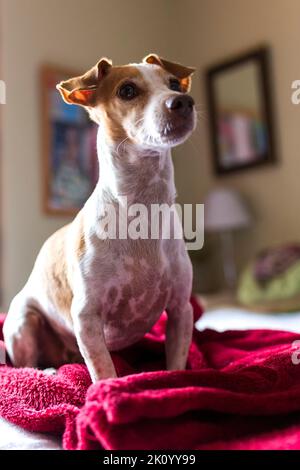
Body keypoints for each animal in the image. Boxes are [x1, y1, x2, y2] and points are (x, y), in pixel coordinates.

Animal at [2, 54, 197, 382]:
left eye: (173, 83)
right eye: (127, 90)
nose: (183, 101)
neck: (142, 208)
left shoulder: (181, 310)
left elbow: (177, 362)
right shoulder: (87, 318)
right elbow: (104, 372)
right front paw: (109, 390)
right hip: (23, 323)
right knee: (24, 364)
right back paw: (49, 371)